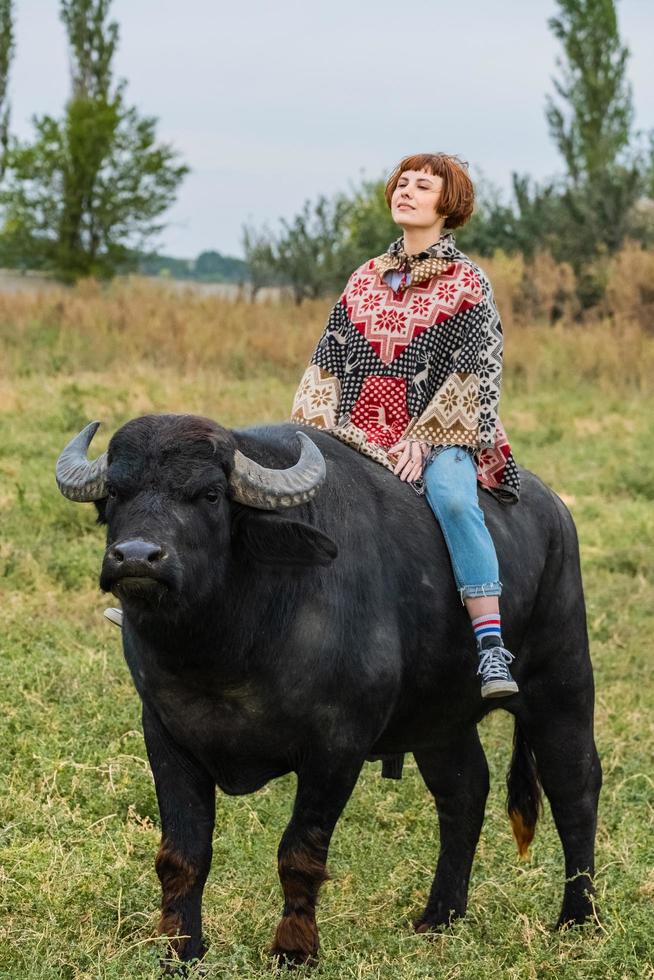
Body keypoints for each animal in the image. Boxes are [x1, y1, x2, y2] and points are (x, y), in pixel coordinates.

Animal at [56, 412, 604, 964]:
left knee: (575, 787)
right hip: (438, 721)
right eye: (116, 493)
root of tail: (556, 512)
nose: (136, 558)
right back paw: (440, 916)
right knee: (464, 792)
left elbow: (299, 852)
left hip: (562, 685)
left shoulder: (337, 746)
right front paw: (181, 948)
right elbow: (183, 855)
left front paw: (293, 949)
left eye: (209, 494)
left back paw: (578, 918)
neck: (228, 644)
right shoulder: (167, 736)